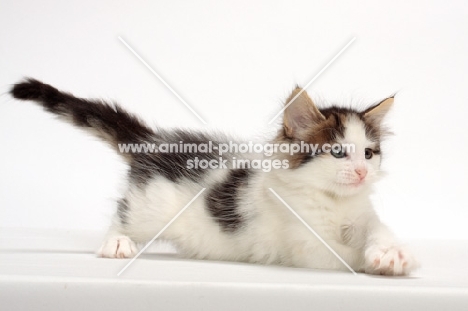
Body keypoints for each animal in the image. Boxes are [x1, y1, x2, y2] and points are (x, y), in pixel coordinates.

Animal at [11, 78, 418, 276]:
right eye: (337, 153)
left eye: (369, 153)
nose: (362, 172)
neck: (332, 201)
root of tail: (153, 143)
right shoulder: (305, 244)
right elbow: (341, 255)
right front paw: (381, 261)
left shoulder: (363, 216)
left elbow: (378, 231)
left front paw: (393, 253)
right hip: (150, 206)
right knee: (122, 214)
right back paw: (116, 244)